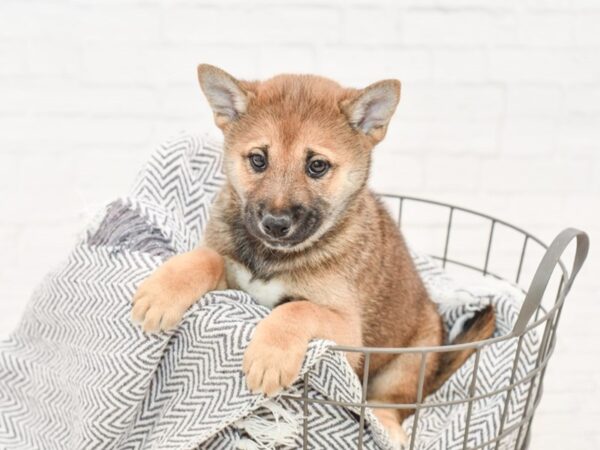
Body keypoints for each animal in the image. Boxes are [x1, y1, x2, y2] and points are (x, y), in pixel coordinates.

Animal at [132, 64, 496, 446]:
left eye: (317, 166)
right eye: (258, 160)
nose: (275, 224)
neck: (275, 257)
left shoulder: (348, 333)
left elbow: (297, 309)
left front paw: (270, 355)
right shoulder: (235, 282)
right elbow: (209, 257)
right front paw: (162, 293)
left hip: (409, 360)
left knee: (393, 404)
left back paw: (388, 428)